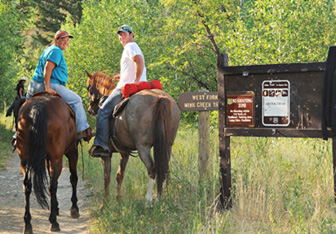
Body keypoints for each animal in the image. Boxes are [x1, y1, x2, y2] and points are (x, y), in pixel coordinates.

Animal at [16, 92, 80, 233]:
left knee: (27, 185)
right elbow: (73, 178)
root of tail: (40, 106)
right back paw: (54, 222)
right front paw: (74, 208)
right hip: (57, 158)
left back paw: (28, 224)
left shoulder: (47, 158)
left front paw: (56, 207)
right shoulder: (72, 151)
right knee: (53, 184)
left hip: (24, 159)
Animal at [86, 71, 180, 207]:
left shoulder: (106, 155)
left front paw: (105, 204)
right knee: (164, 168)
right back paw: (161, 198)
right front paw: (118, 199)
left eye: (88, 87)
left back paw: (148, 200)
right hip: (167, 145)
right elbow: (119, 175)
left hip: (143, 147)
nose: (90, 110)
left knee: (152, 169)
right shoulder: (124, 153)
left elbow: (106, 177)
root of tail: (160, 99)